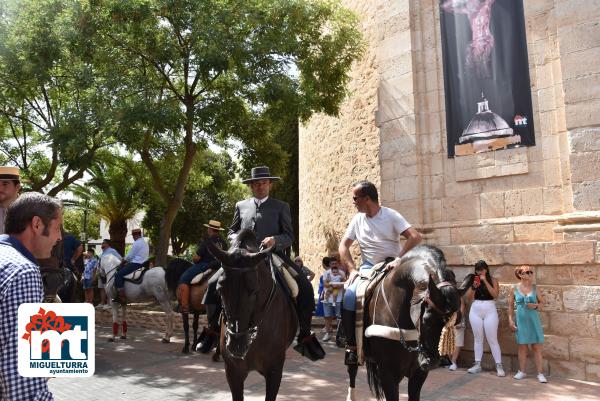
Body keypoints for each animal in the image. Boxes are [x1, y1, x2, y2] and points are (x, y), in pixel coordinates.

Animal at [344, 245, 462, 400]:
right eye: (426, 319)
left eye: (457, 321)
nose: (433, 362)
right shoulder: (388, 372)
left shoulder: (418, 373)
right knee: (352, 370)